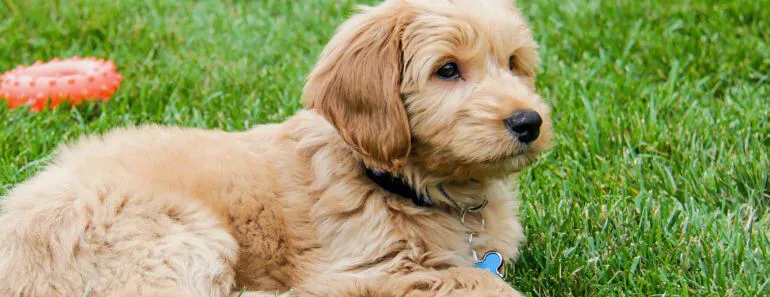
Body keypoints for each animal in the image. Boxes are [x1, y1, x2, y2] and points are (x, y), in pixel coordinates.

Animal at [1, 0, 552, 294]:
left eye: (514, 63)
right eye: (447, 70)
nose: (529, 122)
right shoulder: (361, 273)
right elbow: (476, 281)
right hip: (176, 236)